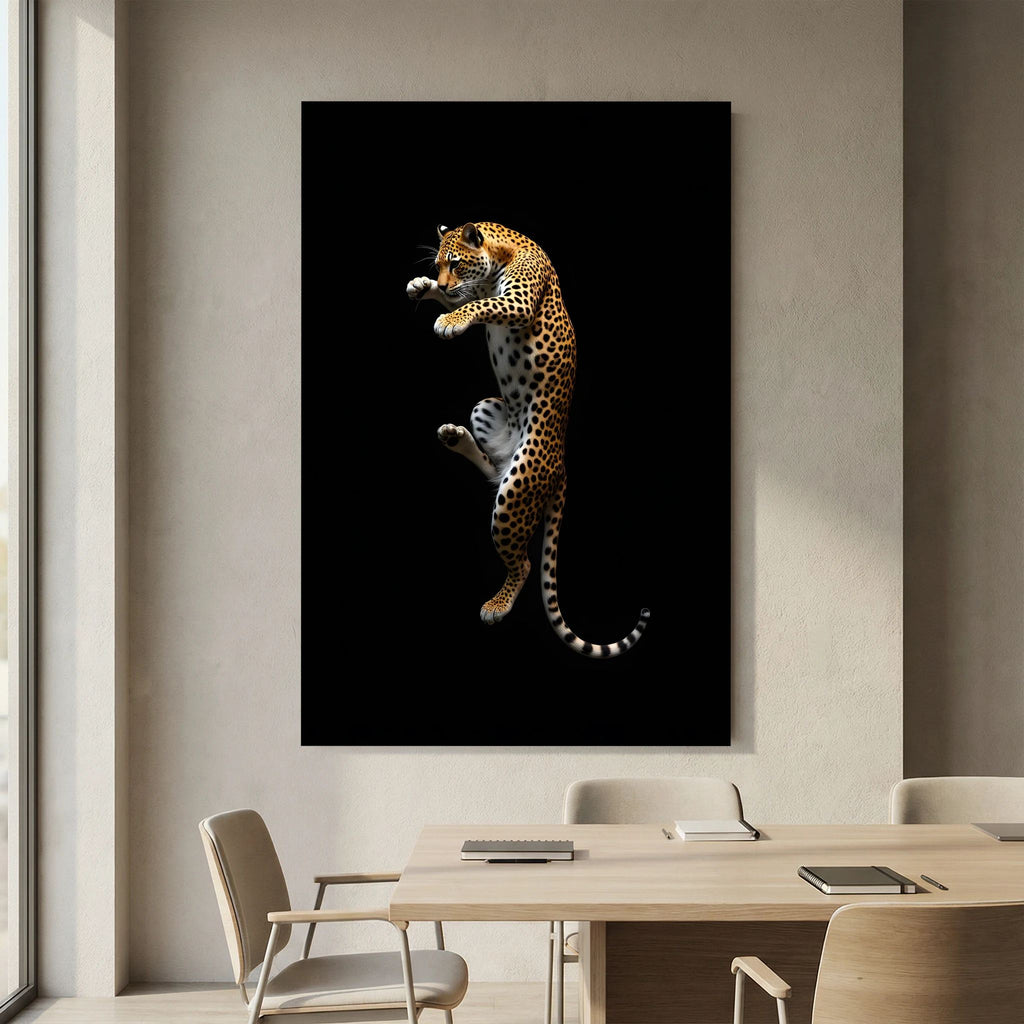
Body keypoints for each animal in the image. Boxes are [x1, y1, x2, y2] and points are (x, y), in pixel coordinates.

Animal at [406, 221, 649, 659]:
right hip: (485, 409)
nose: (443, 281)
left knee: (521, 563)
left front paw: (450, 318)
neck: (500, 251)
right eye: (438, 264)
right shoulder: (481, 290)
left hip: (517, 488)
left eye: (455, 262)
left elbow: (479, 306)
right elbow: (467, 297)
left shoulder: (515, 301)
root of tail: (561, 465)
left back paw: (496, 607)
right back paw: (454, 436)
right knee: (493, 468)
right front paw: (424, 286)